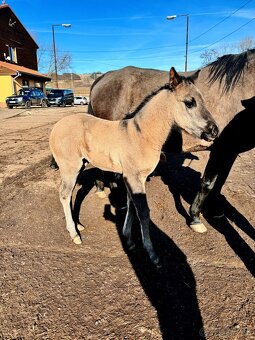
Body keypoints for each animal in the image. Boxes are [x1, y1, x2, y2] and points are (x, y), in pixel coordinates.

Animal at [49, 67, 217, 266]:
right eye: (190, 102)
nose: (214, 130)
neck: (142, 135)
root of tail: (57, 127)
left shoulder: (133, 177)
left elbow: (131, 205)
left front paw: (128, 239)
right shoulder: (134, 177)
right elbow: (143, 211)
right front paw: (152, 254)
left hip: (79, 166)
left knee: (74, 193)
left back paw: (78, 225)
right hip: (70, 168)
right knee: (64, 195)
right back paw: (74, 234)